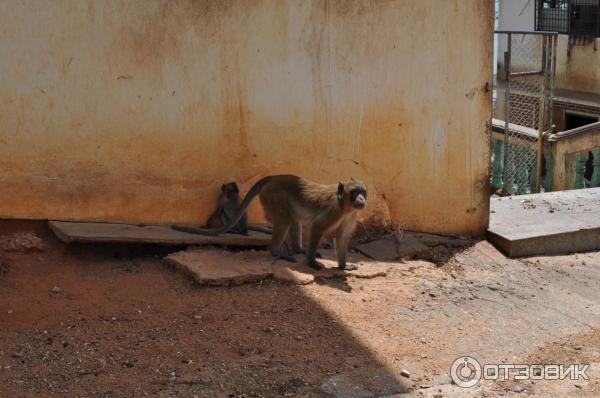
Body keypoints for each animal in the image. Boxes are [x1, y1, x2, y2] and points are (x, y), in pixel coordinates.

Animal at [171, 174, 368, 270]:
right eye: (355, 192)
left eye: (363, 192)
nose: (361, 199)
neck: (344, 204)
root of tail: (274, 178)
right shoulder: (333, 211)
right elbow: (317, 227)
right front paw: (311, 262)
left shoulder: (351, 215)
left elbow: (342, 236)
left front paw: (342, 266)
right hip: (272, 195)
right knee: (285, 219)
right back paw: (276, 251)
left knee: (292, 218)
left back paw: (297, 249)